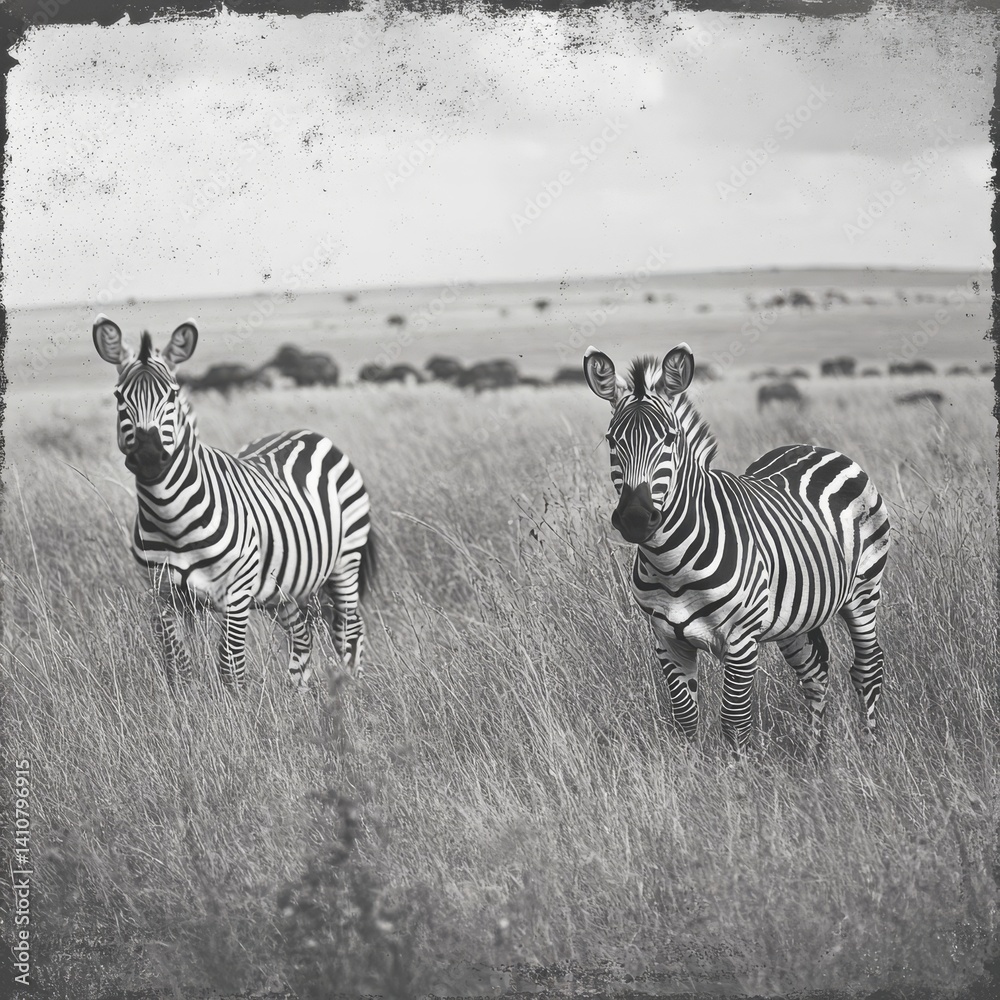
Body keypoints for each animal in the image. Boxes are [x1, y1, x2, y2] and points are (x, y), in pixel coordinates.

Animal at [93, 315, 375, 693]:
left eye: (172, 395)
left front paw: (240, 708)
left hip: (346, 559)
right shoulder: (160, 595)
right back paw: (297, 694)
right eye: (119, 396)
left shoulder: (236, 594)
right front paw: (186, 704)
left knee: (349, 629)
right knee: (302, 634)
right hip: (282, 587)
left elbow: (230, 666)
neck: (170, 520)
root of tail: (308, 433)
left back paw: (348, 689)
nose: (149, 457)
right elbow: (177, 665)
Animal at [584, 343, 890, 755]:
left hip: (863, 592)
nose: (635, 517)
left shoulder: (741, 641)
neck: (670, 564)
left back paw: (870, 748)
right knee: (815, 671)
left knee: (867, 667)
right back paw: (815, 754)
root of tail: (814, 447)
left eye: (670, 439)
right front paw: (690, 767)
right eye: (612, 441)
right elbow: (685, 718)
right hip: (793, 615)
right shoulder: (666, 639)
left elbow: (734, 722)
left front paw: (738, 771)